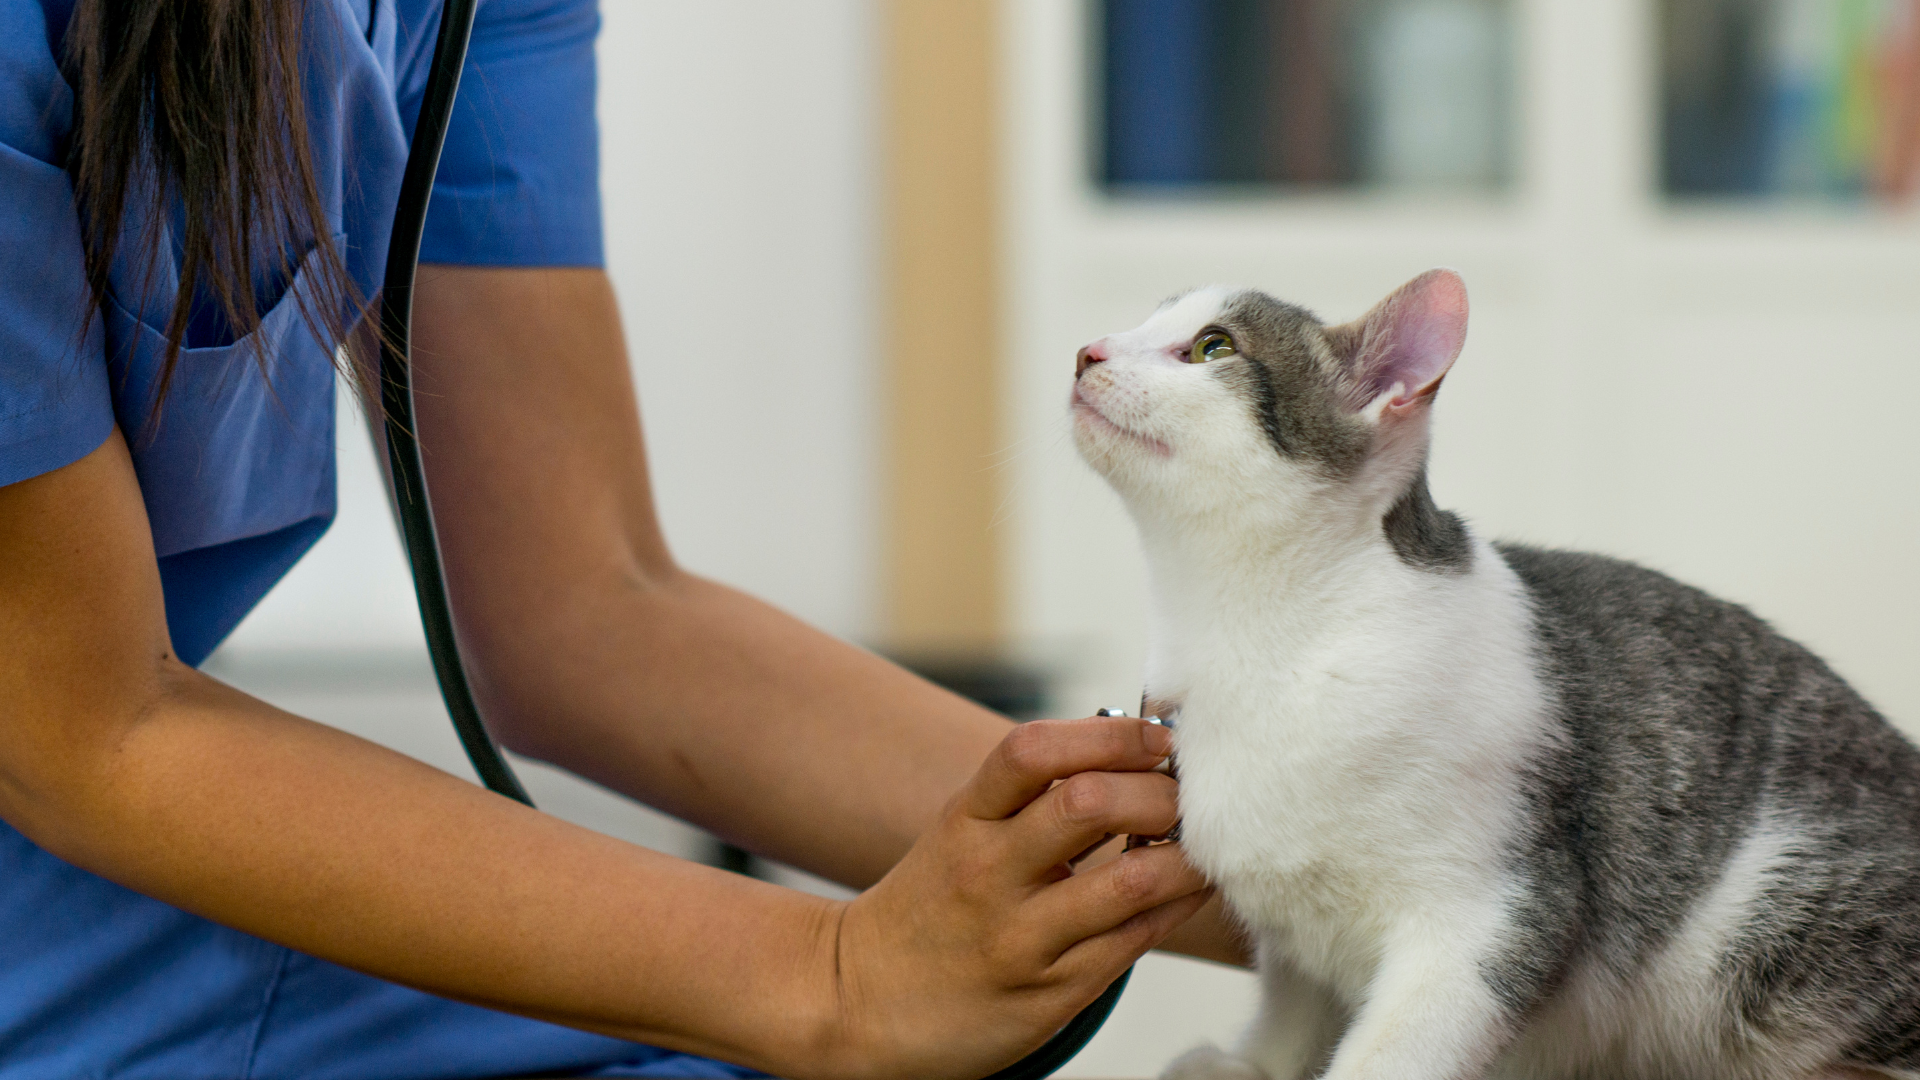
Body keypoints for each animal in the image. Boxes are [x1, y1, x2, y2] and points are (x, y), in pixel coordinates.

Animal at [1067, 265, 1920, 1068]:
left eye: (1213, 348)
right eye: (1144, 321)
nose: (1087, 351)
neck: (1266, 644)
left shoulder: (1495, 913)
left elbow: (1393, 1054)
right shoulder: (1293, 934)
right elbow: (1294, 1003)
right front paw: (1254, 1063)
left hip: (1765, 928)